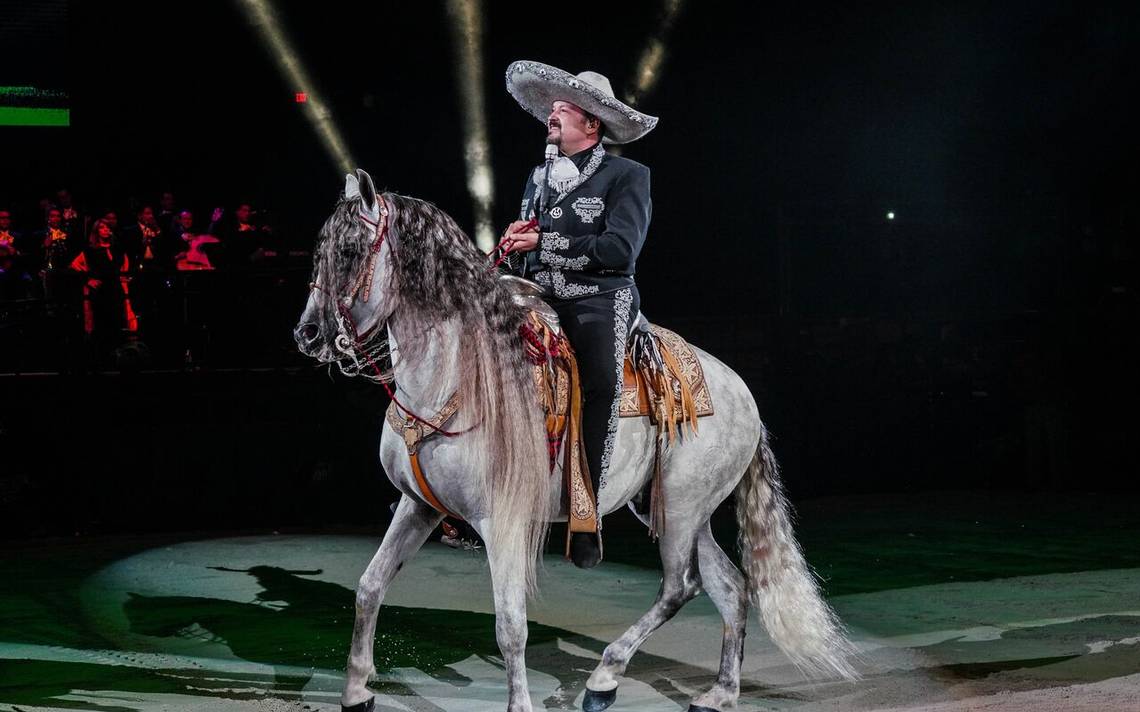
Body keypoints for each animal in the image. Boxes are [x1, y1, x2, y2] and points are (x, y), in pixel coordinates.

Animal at [294, 167, 857, 710]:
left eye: (350, 251)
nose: (308, 335)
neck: (460, 375)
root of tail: (742, 394)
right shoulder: (418, 506)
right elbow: (369, 587)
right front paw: (356, 692)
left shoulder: (501, 522)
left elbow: (510, 626)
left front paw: (520, 704)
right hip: (673, 510)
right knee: (730, 587)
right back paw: (719, 693)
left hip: (680, 509)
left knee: (681, 586)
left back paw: (604, 679)